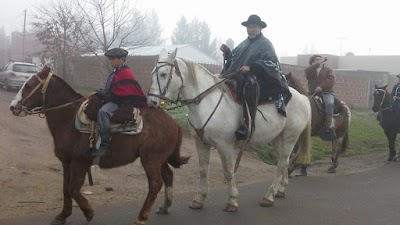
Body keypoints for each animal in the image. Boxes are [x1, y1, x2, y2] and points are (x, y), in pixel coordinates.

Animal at [8, 66, 190, 225]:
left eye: (29, 85)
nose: (12, 107)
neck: (69, 119)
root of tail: (174, 123)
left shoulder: (80, 163)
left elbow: (73, 190)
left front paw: (89, 212)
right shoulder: (66, 162)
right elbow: (66, 189)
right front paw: (62, 216)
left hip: (151, 160)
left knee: (155, 184)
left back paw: (142, 216)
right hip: (160, 160)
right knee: (168, 176)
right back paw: (165, 206)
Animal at [148, 48, 312, 211]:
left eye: (163, 74)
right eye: (153, 73)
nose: (151, 102)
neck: (206, 103)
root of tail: (303, 98)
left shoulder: (224, 145)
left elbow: (228, 171)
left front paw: (232, 201)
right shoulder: (201, 143)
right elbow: (203, 170)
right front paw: (199, 199)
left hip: (289, 138)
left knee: (282, 164)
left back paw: (268, 196)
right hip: (278, 139)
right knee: (283, 161)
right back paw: (280, 190)